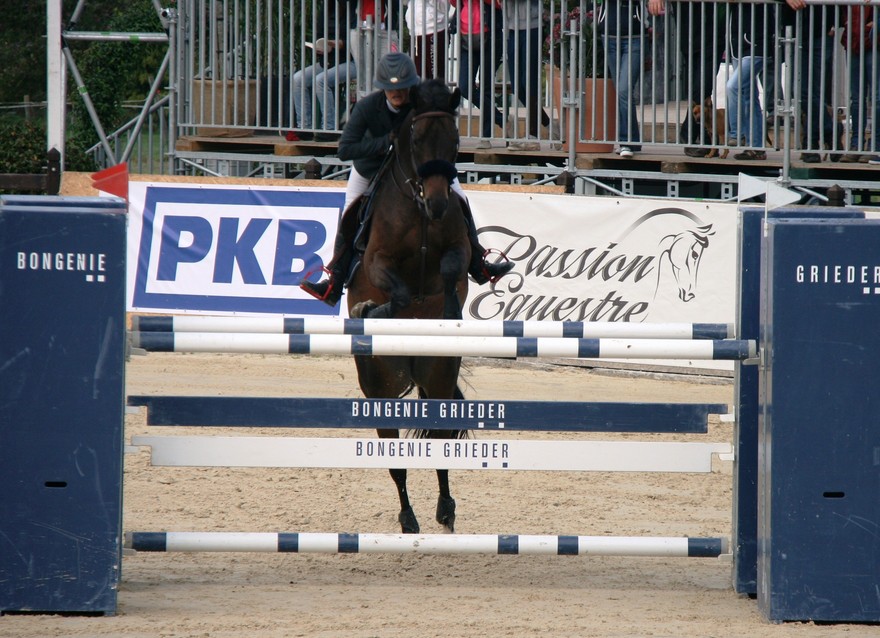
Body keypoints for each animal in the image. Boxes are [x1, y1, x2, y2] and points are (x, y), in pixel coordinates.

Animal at [346, 79, 471, 534]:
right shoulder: (376, 260)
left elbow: (451, 272)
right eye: (415, 139)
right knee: (395, 457)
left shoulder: (458, 250)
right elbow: (397, 292)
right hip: (380, 385)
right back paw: (408, 518)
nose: (437, 204)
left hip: (437, 376)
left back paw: (446, 510)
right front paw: (370, 310)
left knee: (440, 441)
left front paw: (451, 312)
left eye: (455, 140)